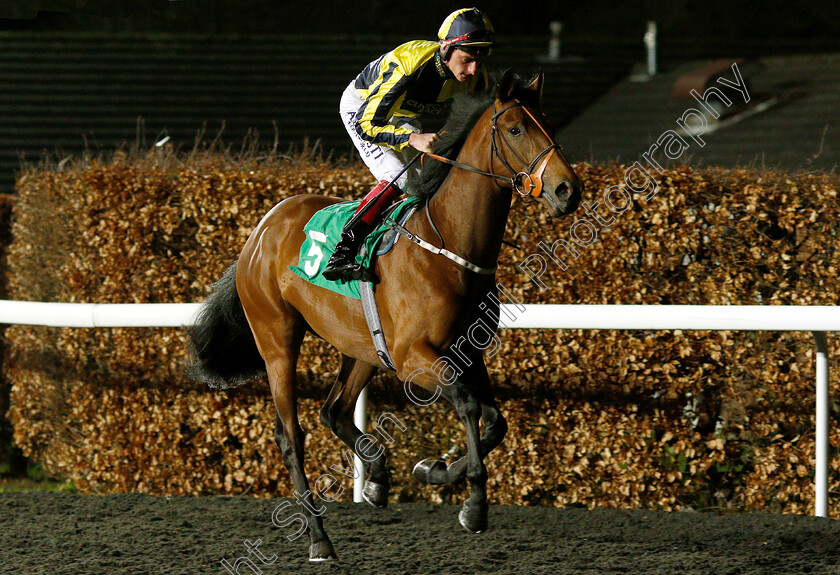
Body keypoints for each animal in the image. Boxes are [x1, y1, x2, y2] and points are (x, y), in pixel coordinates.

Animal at [190, 68, 584, 564]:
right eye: (515, 129)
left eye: (547, 122)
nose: (568, 190)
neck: (449, 247)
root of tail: (262, 229)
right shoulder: (412, 357)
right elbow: (469, 405)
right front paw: (473, 504)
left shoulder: (466, 351)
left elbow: (496, 421)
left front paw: (433, 470)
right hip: (277, 340)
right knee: (291, 436)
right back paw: (318, 536)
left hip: (361, 346)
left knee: (335, 410)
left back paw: (376, 477)